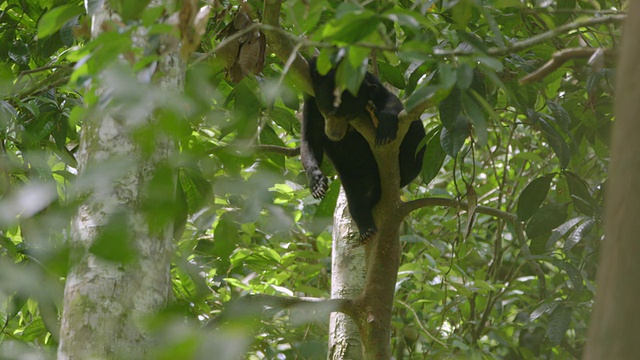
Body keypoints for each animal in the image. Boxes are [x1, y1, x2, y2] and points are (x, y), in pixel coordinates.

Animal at [302, 58, 428, 242]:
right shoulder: (310, 100)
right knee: (355, 195)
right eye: (329, 112)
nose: (334, 135)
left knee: (415, 134)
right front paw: (317, 183)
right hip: (352, 172)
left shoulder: (372, 83)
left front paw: (384, 124)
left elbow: (391, 100)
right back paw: (366, 228)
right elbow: (311, 138)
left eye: (350, 116)